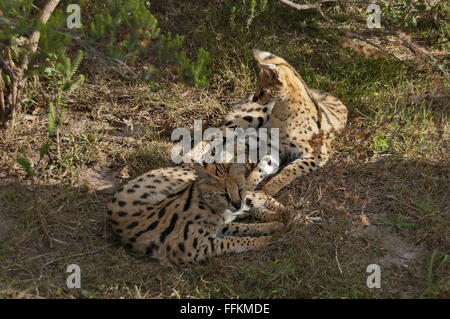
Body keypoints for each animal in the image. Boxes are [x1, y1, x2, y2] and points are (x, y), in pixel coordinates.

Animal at [107, 164, 288, 264]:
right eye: (223, 194)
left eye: (239, 189)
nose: (236, 203)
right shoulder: (192, 250)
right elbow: (237, 237)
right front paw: (267, 237)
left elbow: (240, 230)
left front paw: (274, 226)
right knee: (255, 200)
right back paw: (279, 216)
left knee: (259, 195)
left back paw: (285, 213)